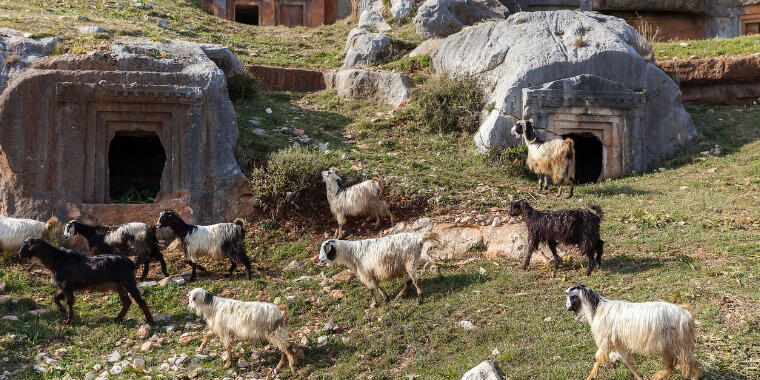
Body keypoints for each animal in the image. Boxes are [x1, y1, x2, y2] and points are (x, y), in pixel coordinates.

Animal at [18, 238, 153, 324]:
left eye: (26, 245)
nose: (20, 254)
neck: (56, 259)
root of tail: (132, 262)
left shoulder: (66, 285)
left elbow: (69, 302)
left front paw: (69, 321)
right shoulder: (65, 286)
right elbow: (56, 297)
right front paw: (63, 311)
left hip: (128, 282)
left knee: (140, 301)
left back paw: (150, 320)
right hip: (119, 286)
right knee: (127, 303)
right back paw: (117, 319)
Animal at [564, 284, 700, 380]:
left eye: (569, 296)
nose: (567, 307)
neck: (598, 308)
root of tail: (687, 315)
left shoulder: (605, 340)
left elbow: (599, 358)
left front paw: (591, 376)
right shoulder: (619, 342)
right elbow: (627, 361)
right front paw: (638, 376)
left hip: (680, 344)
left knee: (691, 364)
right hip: (668, 346)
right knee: (671, 366)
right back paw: (657, 376)